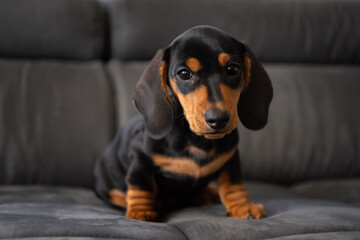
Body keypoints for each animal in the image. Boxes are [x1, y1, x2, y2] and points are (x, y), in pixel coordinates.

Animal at [94, 24, 272, 221]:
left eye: (232, 69)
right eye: (184, 74)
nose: (218, 119)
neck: (197, 140)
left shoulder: (230, 157)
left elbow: (233, 182)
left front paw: (242, 206)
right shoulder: (140, 157)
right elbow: (141, 184)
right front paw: (142, 210)